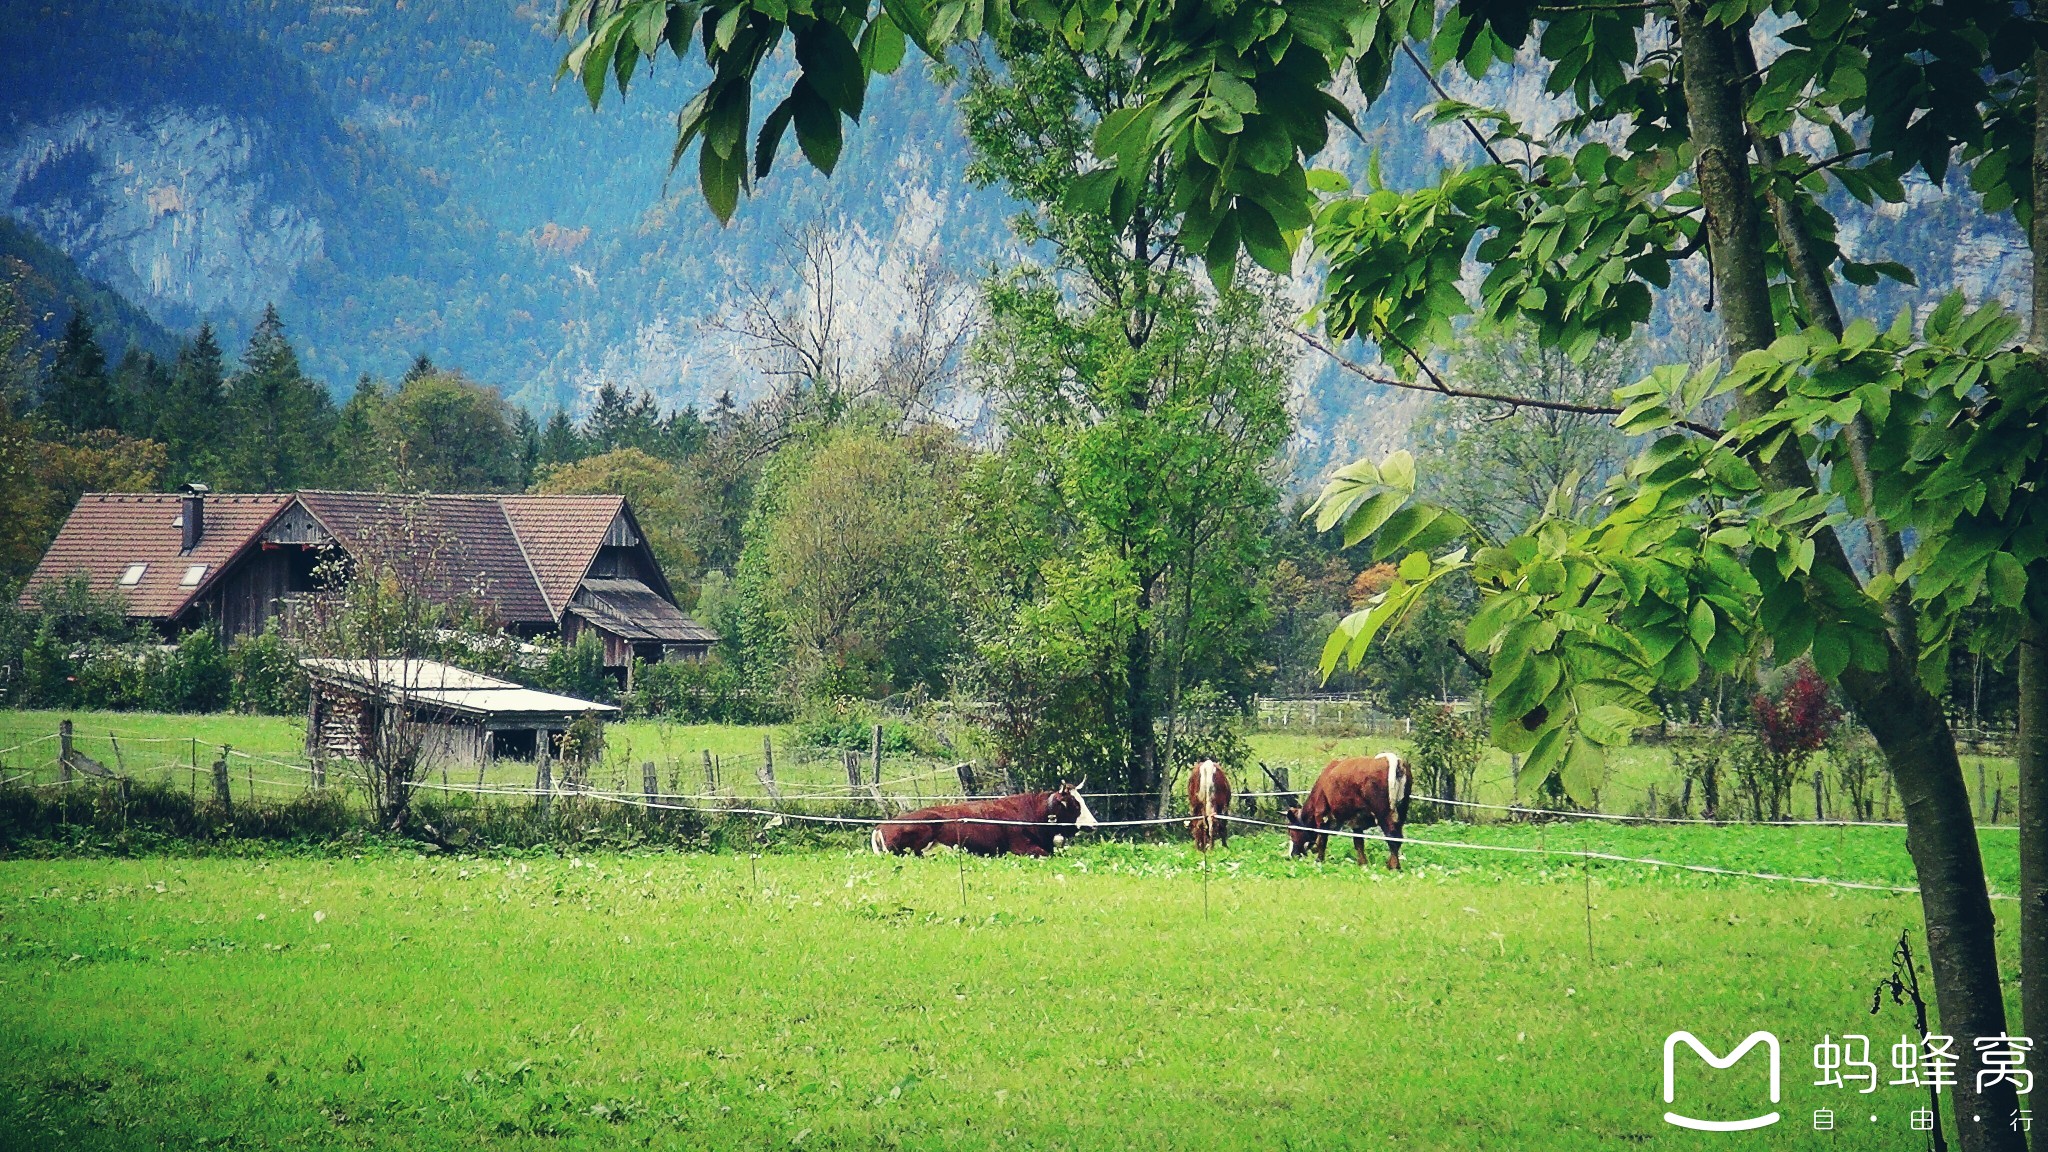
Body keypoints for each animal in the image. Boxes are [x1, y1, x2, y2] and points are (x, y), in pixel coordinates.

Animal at [1277, 750, 1409, 865]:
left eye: (1291, 831)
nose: (1292, 855)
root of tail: (1390, 759)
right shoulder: (1357, 820)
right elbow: (1358, 842)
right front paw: (1362, 864)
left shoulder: (1322, 815)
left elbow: (1322, 840)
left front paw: (1319, 861)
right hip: (1402, 811)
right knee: (1398, 837)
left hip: (1382, 812)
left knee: (1392, 836)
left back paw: (1393, 866)